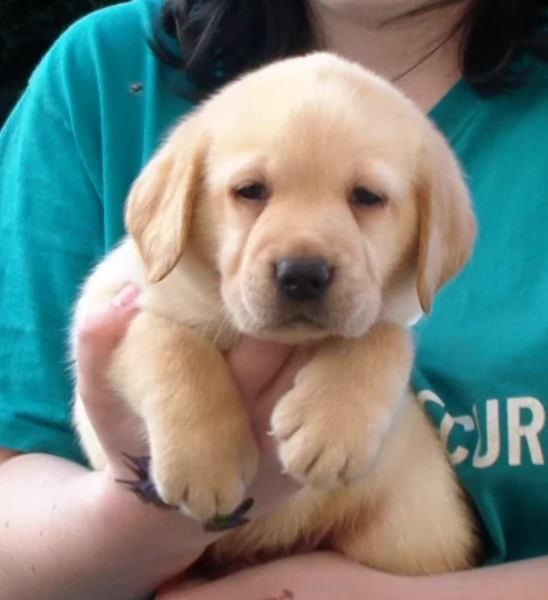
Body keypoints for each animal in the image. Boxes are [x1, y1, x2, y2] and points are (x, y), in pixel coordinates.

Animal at [71, 51, 480, 576]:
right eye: (250, 191)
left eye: (366, 197)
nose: (302, 274)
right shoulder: (108, 302)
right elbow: (171, 342)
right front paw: (206, 460)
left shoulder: (382, 310)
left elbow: (383, 335)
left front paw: (330, 427)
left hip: (411, 534)